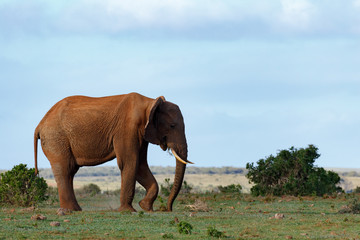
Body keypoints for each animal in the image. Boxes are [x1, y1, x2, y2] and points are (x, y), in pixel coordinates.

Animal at [34, 92, 193, 212]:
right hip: (56, 138)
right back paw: (70, 210)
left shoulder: (141, 133)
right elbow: (130, 162)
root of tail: (39, 124)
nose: (168, 209)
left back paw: (76, 209)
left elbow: (141, 165)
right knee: (65, 169)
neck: (149, 103)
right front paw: (128, 211)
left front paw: (145, 207)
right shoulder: (126, 128)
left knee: (70, 171)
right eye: (172, 125)